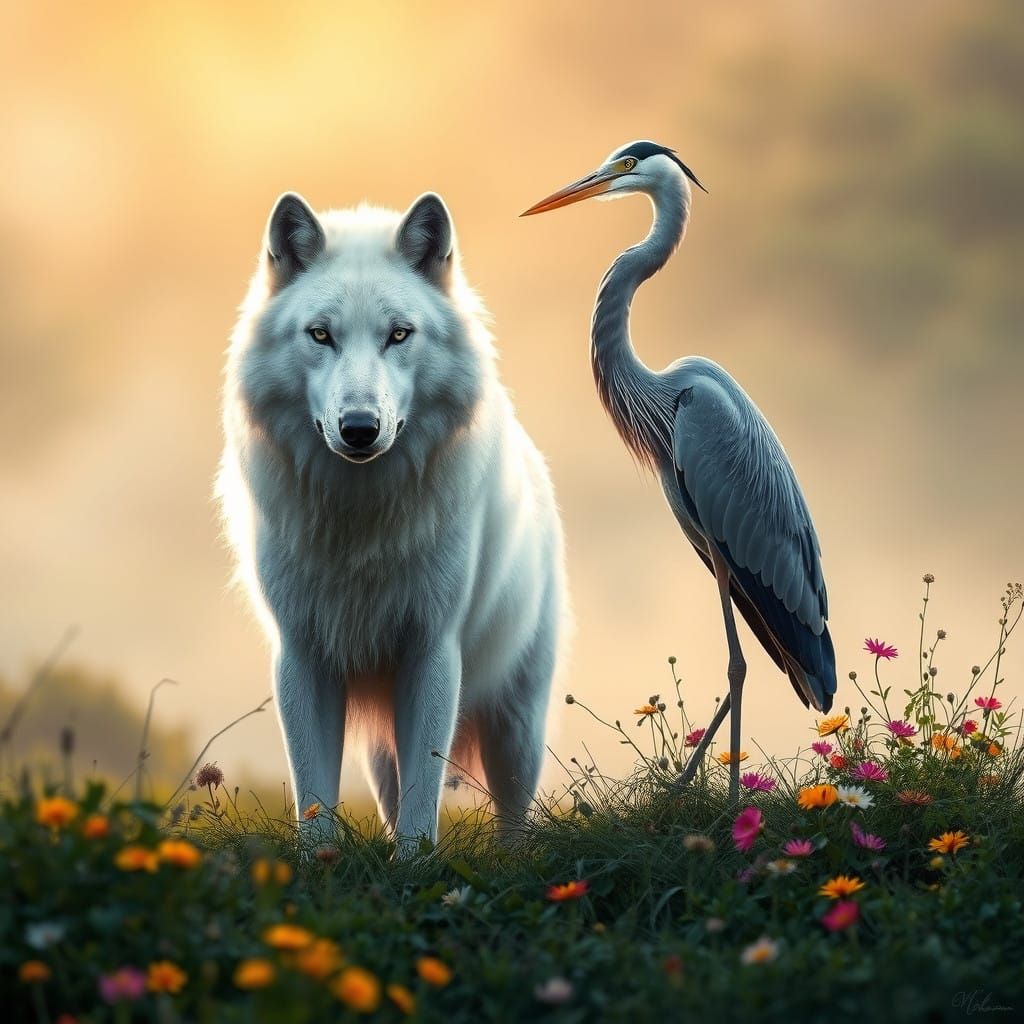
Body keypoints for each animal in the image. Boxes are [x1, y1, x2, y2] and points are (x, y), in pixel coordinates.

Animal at [218, 190, 567, 844]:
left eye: (399, 334)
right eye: (321, 334)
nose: (359, 428)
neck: (361, 519)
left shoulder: (432, 652)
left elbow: (423, 799)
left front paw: (414, 862)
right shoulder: (301, 657)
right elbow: (315, 799)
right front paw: (321, 862)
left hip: (516, 729)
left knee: (514, 820)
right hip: (383, 742)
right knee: (389, 793)